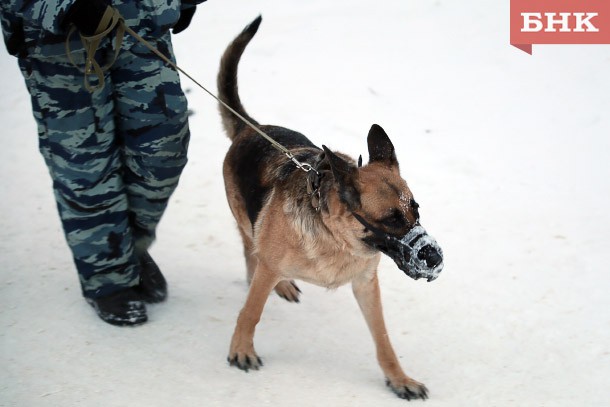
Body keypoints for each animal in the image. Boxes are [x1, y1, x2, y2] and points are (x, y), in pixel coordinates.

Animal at [218, 16, 442, 402]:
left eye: (416, 210)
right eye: (391, 219)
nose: (435, 256)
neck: (336, 240)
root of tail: (253, 128)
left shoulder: (367, 285)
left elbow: (383, 339)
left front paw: (399, 378)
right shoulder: (269, 269)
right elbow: (250, 311)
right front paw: (241, 349)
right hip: (246, 221)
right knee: (250, 252)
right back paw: (276, 283)